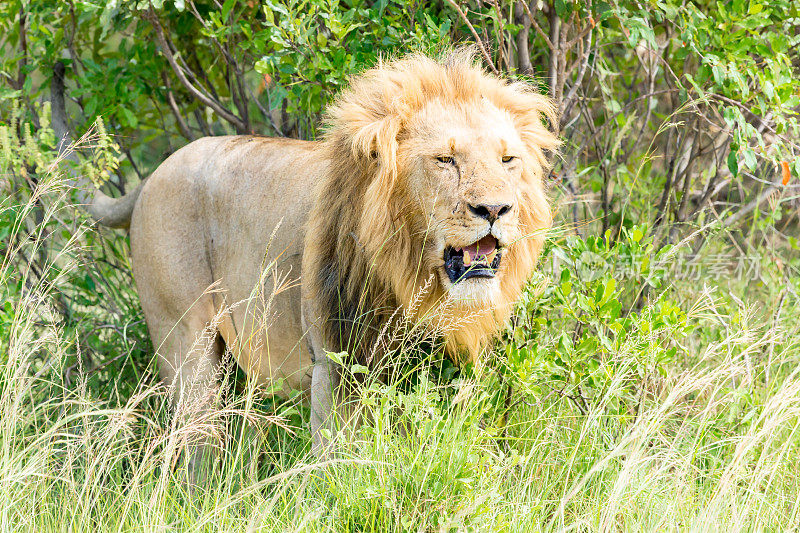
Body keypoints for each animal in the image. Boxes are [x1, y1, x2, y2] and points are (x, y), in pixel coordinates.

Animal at [53, 48, 560, 462]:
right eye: (445, 160)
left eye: (508, 160)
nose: (495, 209)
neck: (413, 282)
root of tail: (154, 174)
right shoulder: (336, 366)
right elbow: (337, 464)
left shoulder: (452, 370)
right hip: (185, 347)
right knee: (196, 448)